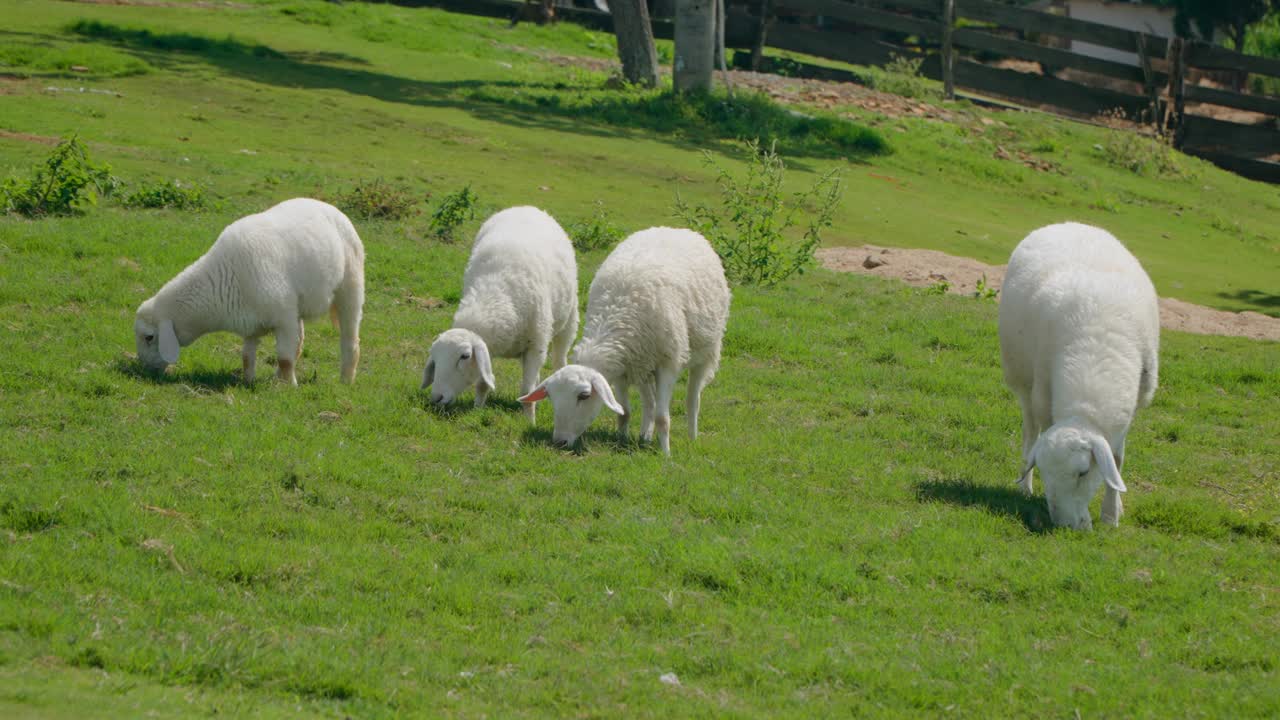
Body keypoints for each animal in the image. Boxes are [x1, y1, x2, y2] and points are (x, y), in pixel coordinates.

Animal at [135, 196, 366, 384]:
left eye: (149, 337)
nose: (144, 371)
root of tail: (333, 209)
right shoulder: (250, 322)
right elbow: (247, 356)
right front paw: (247, 381)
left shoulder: (283, 318)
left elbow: (284, 357)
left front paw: (289, 387)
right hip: (297, 306)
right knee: (299, 342)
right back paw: (277, 378)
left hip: (350, 288)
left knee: (350, 340)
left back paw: (346, 379)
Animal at [422, 203, 578, 420]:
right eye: (434, 357)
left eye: (464, 356)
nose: (436, 398)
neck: (494, 293)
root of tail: (526, 206)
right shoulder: (491, 347)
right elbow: (483, 383)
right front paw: (477, 409)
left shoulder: (536, 343)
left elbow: (526, 392)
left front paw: (529, 422)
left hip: (568, 320)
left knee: (559, 359)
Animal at [517, 224, 732, 450]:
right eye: (551, 397)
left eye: (584, 396)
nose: (560, 442)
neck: (617, 313)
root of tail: (677, 229)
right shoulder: (623, 367)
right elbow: (624, 412)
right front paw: (621, 439)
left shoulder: (668, 362)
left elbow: (663, 418)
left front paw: (666, 453)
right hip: (643, 364)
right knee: (649, 401)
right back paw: (645, 435)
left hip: (706, 351)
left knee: (693, 398)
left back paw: (692, 436)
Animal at [998, 220, 1162, 527]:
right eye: (1045, 472)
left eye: (1084, 472)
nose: (1065, 525)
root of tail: (1069, 223)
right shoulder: (1044, 395)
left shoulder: (1130, 409)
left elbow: (1117, 460)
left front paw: (1111, 514)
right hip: (1023, 381)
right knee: (1030, 431)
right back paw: (1025, 487)